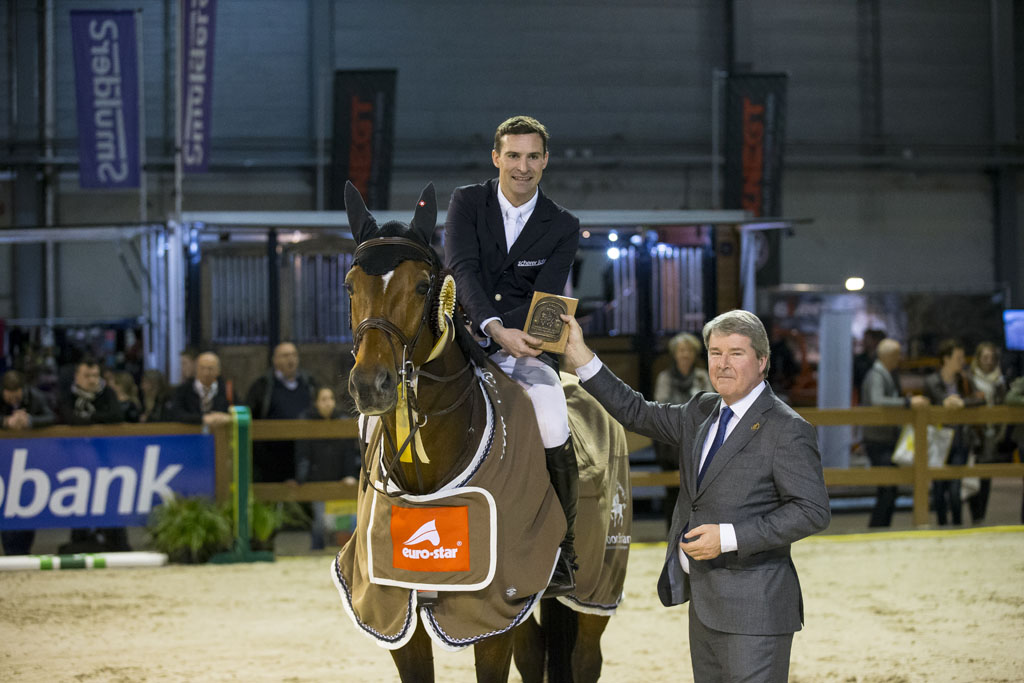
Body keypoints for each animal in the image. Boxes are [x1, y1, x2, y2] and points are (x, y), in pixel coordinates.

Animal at [332, 181, 630, 683]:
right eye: (351, 286)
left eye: (423, 286)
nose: (372, 385)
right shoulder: (395, 612)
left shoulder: (489, 615)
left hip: (598, 579)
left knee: (585, 656)